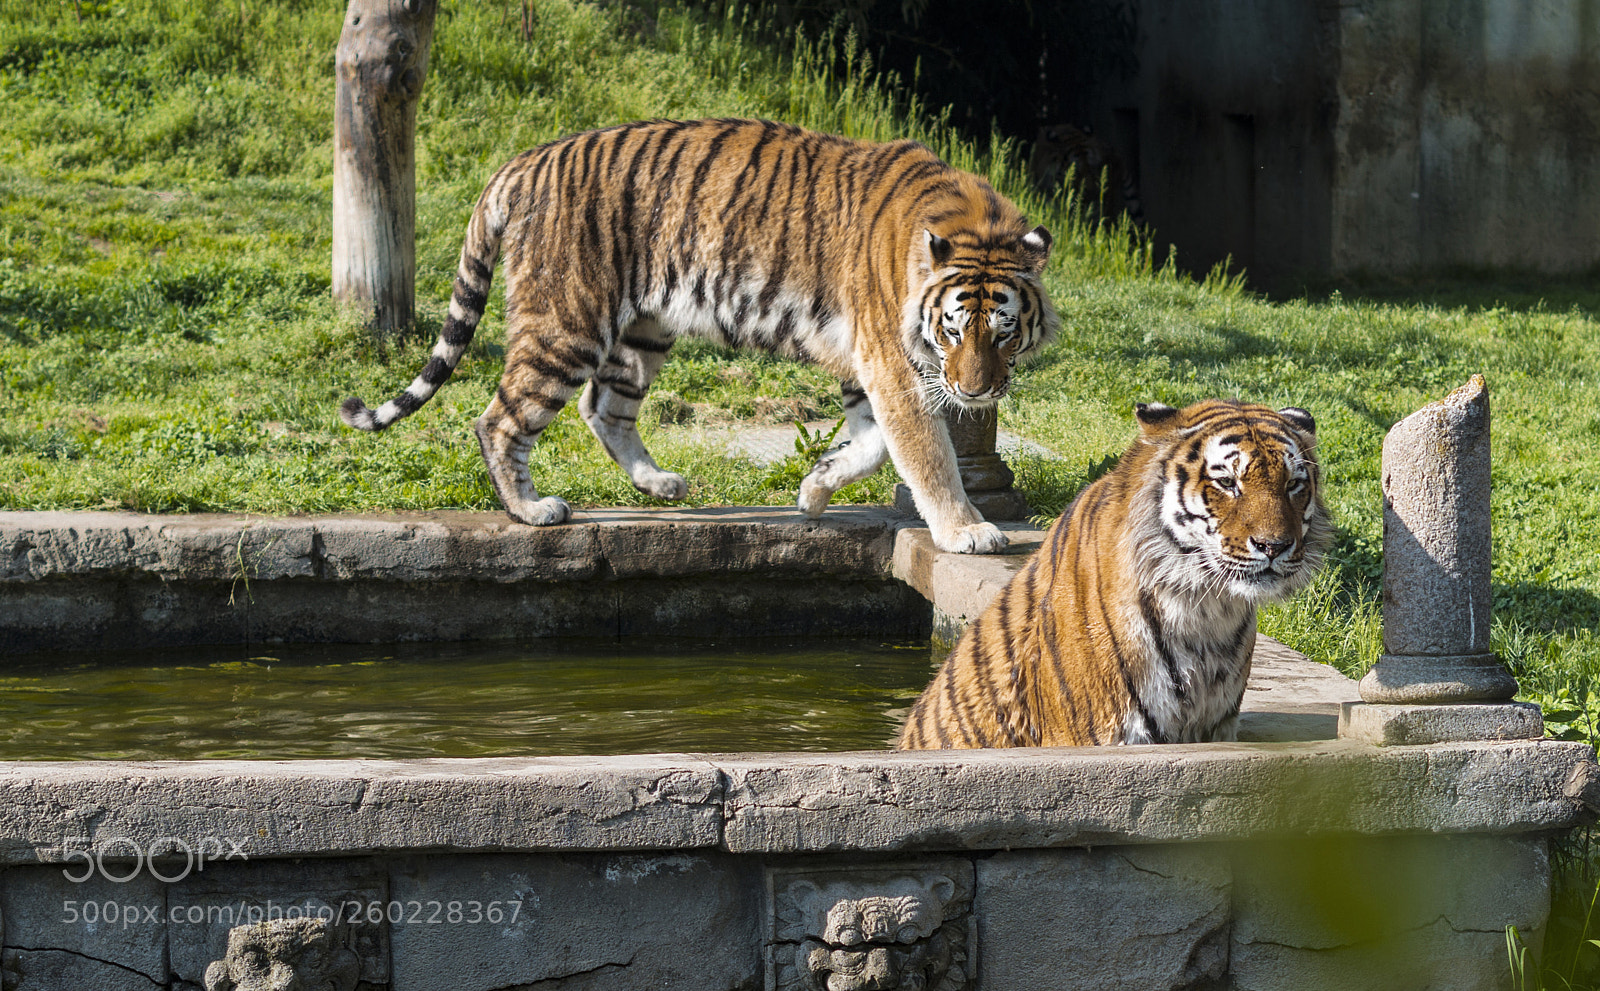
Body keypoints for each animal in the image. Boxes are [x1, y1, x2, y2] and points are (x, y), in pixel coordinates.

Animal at [339, 118, 1060, 555]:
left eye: (1003, 333)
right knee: (500, 419)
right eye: (953, 329)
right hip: (567, 323)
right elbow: (926, 454)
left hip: (643, 331)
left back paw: (660, 485)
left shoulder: (874, 367)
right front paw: (969, 530)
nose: (976, 393)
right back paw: (532, 509)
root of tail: (523, 160)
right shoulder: (895, 366)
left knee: (603, 408)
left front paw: (815, 489)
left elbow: (875, 444)